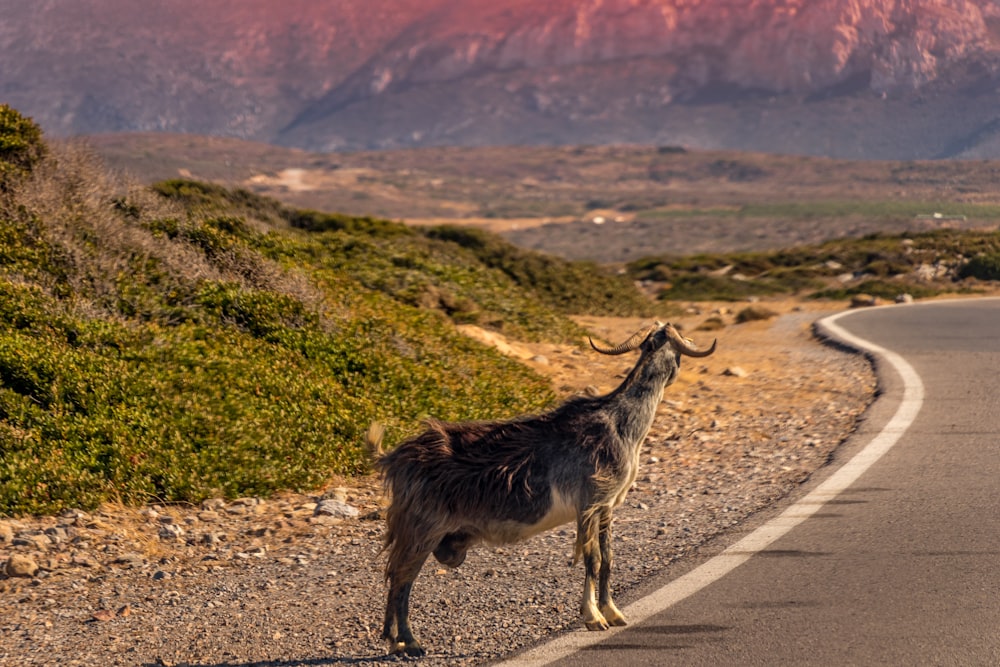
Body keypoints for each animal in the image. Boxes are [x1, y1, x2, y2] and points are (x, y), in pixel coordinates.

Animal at [374, 320, 712, 656]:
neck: (620, 423)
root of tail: (395, 459)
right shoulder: (589, 503)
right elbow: (592, 559)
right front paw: (593, 617)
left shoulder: (607, 506)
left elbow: (608, 559)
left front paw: (613, 612)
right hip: (423, 527)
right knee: (402, 577)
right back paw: (410, 642)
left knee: (396, 575)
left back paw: (393, 640)